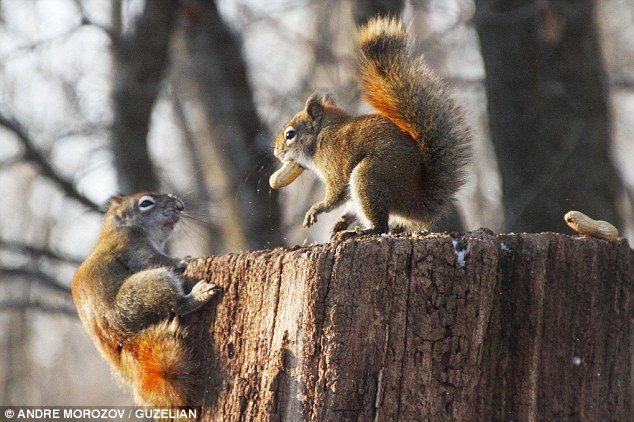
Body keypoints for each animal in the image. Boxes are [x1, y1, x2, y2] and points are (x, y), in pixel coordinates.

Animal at [71, 194, 218, 408]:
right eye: (146, 203)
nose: (179, 205)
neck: (119, 228)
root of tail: (119, 336)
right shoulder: (132, 246)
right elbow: (156, 260)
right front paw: (183, 260)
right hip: (149, 285)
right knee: (177, 305)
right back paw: (199, 295)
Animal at [266, 16, 470, 239]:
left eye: (290, 134)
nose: (276, 153)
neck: (321, 136)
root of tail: (417, 202)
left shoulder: (335, 162)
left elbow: (336, 193)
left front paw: (316, 208)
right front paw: (339, 220)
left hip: (368, 176)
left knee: (381, 226)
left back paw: (360, 232)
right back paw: (344, 225)